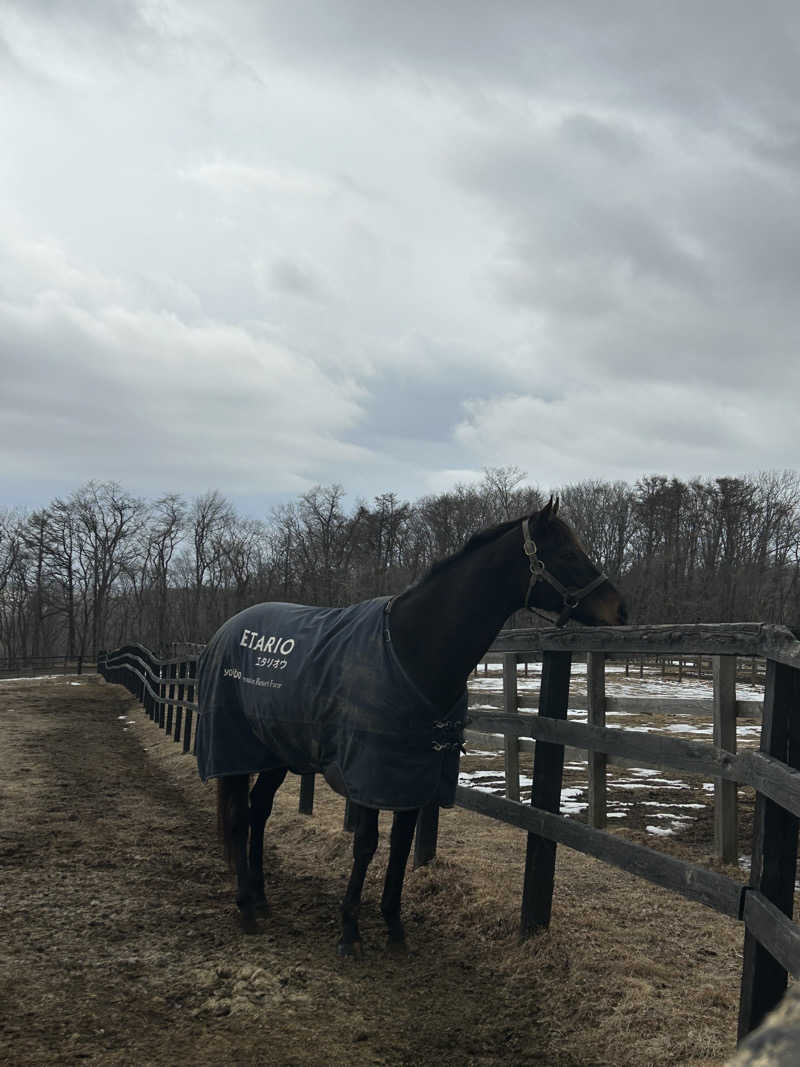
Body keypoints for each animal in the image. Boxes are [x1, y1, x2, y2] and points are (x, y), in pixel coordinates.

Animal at [197, 499, 631, 960]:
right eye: (567, 554)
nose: (620, 610)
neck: (410, 649)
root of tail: (224, 631)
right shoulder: (369, 773)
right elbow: (366, 843)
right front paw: (349, 931)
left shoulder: (412, 775)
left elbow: (402, 843)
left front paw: (394, 925)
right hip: (234, 748)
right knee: (240, 816)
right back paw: (246, 907)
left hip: (276, 751)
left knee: (259, 810)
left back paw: (262, 898)